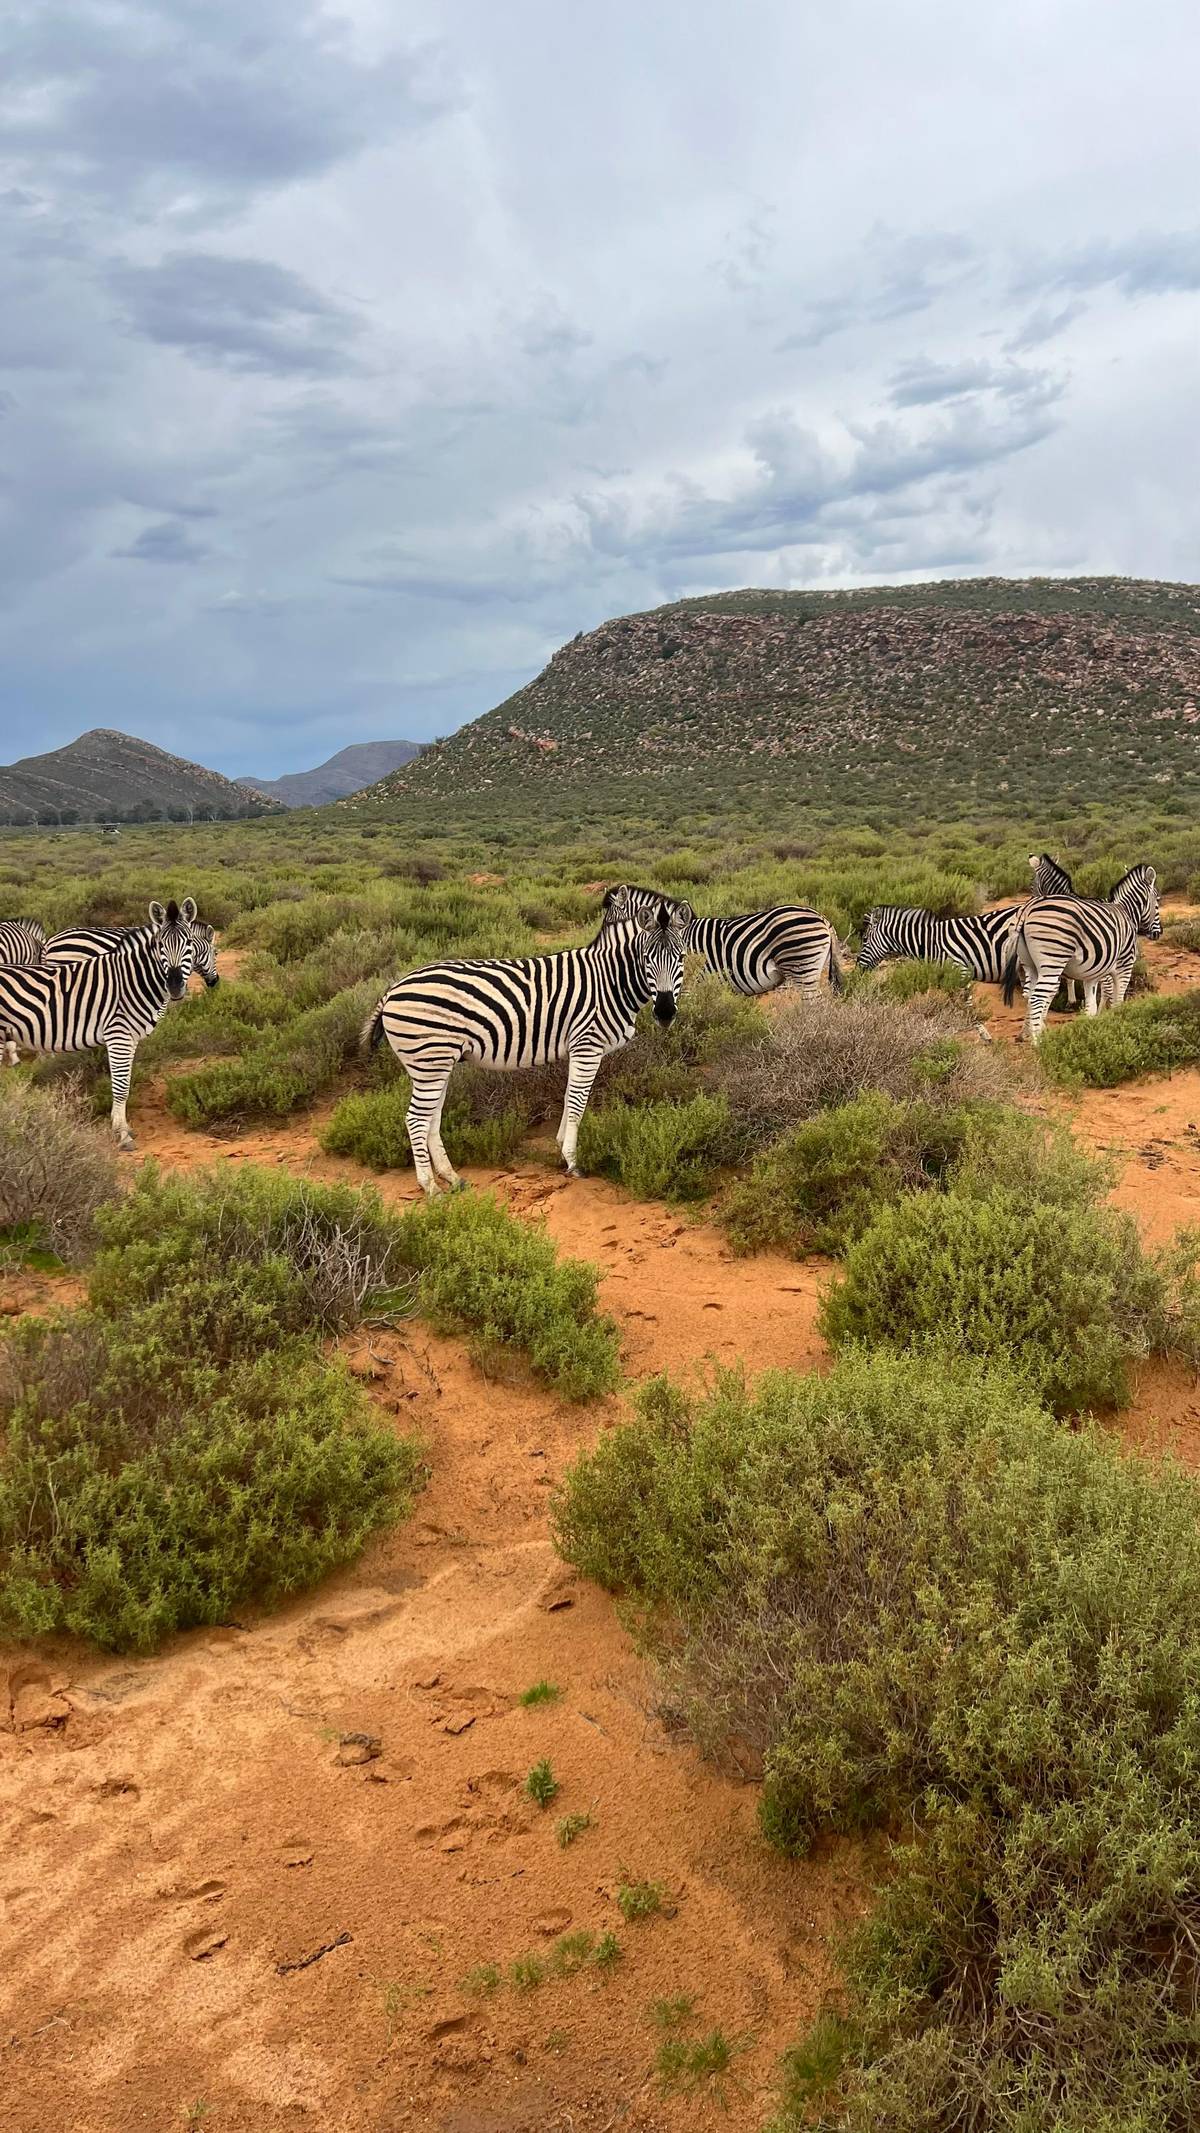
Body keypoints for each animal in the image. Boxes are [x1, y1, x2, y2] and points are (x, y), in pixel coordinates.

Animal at [0, 900, 197, 1148]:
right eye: (160, 944)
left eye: (189, 943)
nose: (174, 986)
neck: (132, 980)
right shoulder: (118, 1034)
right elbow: (121, 1086)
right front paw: (121, 1133)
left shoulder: (130, 1038)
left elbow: (125, 1082)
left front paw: (121, 1126)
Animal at [363, 903, 687, 1195]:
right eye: (646, 958)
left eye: (682, 957)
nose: (665, 1012)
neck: (610, 981)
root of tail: (393, 989)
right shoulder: (587, 1044)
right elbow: (578, 1102)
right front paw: (572, 1161)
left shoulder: (577, 1049)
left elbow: (568, 1097)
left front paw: (560, 1147)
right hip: (429, 1059)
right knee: (416, 1118)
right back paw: (429, 1186)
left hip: (436, 1063)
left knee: (432, 1116)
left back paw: (451, 1177)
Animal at [1001, 867, 1161, 1045]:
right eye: (1157, 902)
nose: (1158, 933)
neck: (1126, 912)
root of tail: (1026, 910)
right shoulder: (1124, 965)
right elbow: (1117, 1000)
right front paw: (1116, 1023)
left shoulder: (1092, 974)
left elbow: (1091, 1005)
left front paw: (1090, 1029)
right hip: (1052, 962)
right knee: (1037, 998)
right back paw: (1038, 1043)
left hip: (1031, 965)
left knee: (1029, 995)